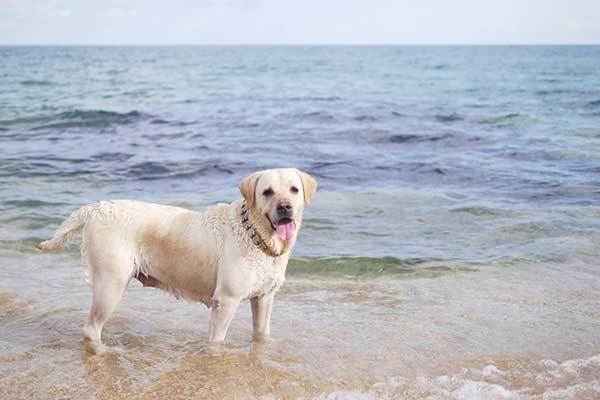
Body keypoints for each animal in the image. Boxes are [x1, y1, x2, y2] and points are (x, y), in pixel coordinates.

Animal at [37, 167, 316, 346]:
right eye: (267, 192)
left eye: (293, 190)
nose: (285, 207)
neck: (255, 234)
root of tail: (96, 208)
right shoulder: (226, 301)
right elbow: (217, 341)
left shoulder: (264, 298)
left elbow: (261, 334)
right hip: (111, 283)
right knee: (91, 328)